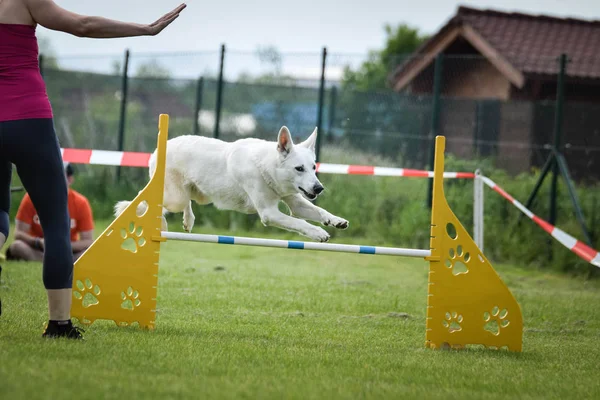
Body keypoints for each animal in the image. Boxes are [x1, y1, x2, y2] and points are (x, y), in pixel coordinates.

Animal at [113, 126, 346, 242]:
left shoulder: (295, 202)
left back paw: (188, 221)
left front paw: (335, 221)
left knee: (186, 202)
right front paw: (319, 233)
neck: (266, 167)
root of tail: (158, 149)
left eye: (313, 167)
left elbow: (317, 211)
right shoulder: (269, 213)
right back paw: (159, 221)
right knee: (148, 199)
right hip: (174, 197)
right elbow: (300, 223)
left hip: (198, 194)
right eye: (299, 168)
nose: (319, 188)